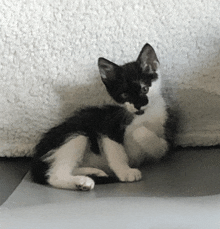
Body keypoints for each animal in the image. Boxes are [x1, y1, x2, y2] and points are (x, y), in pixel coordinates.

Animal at [31, 43, 172, 191]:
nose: (138, 106)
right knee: (54, 175)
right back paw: (82, 182)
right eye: (124, 95)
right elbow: (117, 152)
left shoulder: (163, 140)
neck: (143, 116)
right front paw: (125, 172)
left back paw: (94, 172)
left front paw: (138, 131)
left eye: (145, 89)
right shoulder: (107, 125)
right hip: (75, 134)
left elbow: (153, 141)